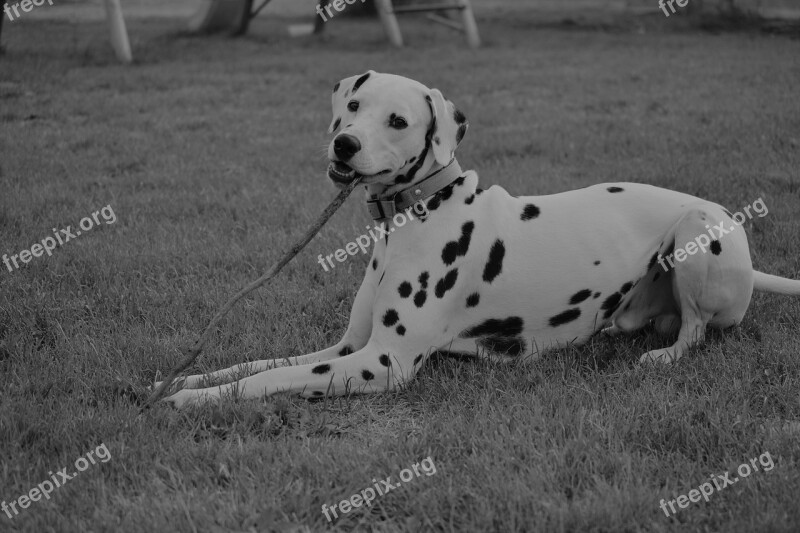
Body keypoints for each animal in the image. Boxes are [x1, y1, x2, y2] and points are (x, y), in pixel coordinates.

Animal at [159, 70, 796, 408]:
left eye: (398, 121)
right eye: (354, 105)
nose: (345, 143)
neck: (415, 213)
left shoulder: (382, 363)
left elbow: (269, 379)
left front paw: (190, 400)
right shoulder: (348, 347)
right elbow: (260, 363)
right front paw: (190, 377)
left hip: (697, 232)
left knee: (696, 330)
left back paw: (664, 355)